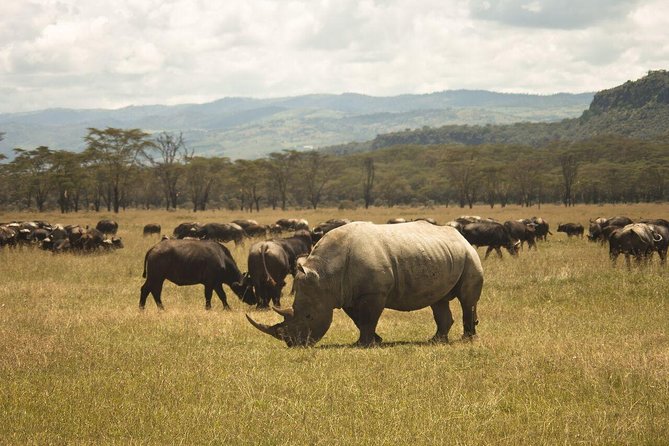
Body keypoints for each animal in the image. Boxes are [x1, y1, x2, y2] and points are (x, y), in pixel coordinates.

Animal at [247, 221, 484, 347]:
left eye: (308, 316)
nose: (294, 344)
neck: (325, 275)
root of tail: (461, 236)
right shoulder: (346, 294)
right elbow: (359, 320)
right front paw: (375, 341)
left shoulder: (374, 293)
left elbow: (369, 318)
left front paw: (364, 344)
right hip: (444, 255)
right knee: (439, 300)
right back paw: (435, 341)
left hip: (469, 256)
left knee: (466, 300)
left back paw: (467, 339)